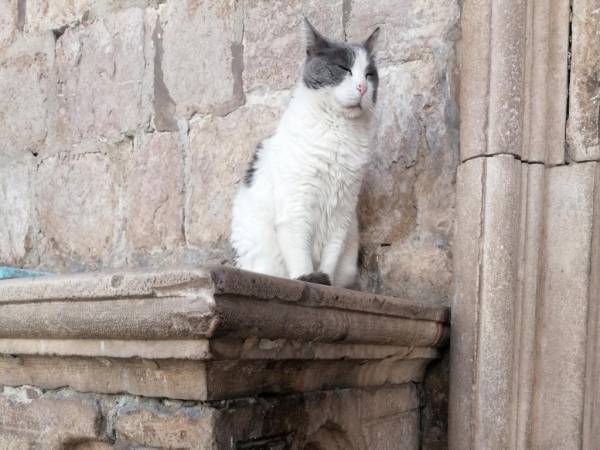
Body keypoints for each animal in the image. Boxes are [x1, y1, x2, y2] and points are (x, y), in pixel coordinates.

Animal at [230, 17, 380, 286]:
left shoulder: (343, 212)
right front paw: (306, 277)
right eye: (344, 69)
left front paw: (325, 280)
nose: (363, 87)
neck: (340, 131)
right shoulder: (296, 204)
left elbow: (331, 254)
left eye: (369, 74)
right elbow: (299, 252)